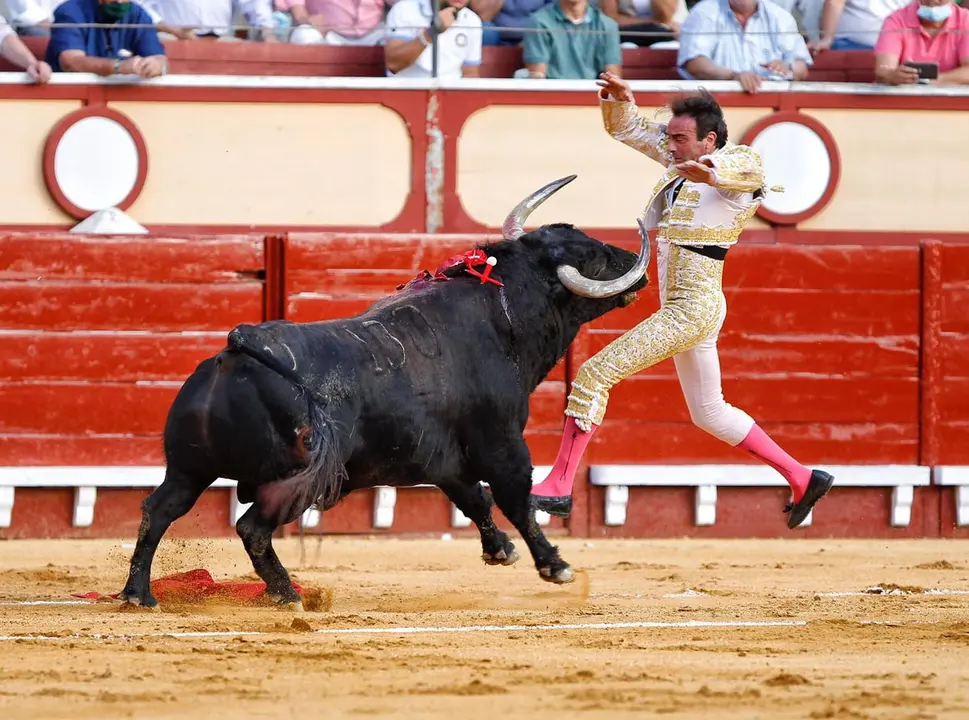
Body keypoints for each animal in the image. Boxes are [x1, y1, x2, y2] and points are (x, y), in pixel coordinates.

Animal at [118, 175, 650, 610]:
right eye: (596, 257)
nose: (636, 266)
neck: (502, 315)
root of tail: (237, 347)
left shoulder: (445, 457)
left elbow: (474, 498)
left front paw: (499, 550)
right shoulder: (501, 440)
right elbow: (514, 496)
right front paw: (553, 565)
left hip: (189, 468)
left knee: (157, 511)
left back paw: (139, 594)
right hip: (293, 480)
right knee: (251, 528)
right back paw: (287, 594)